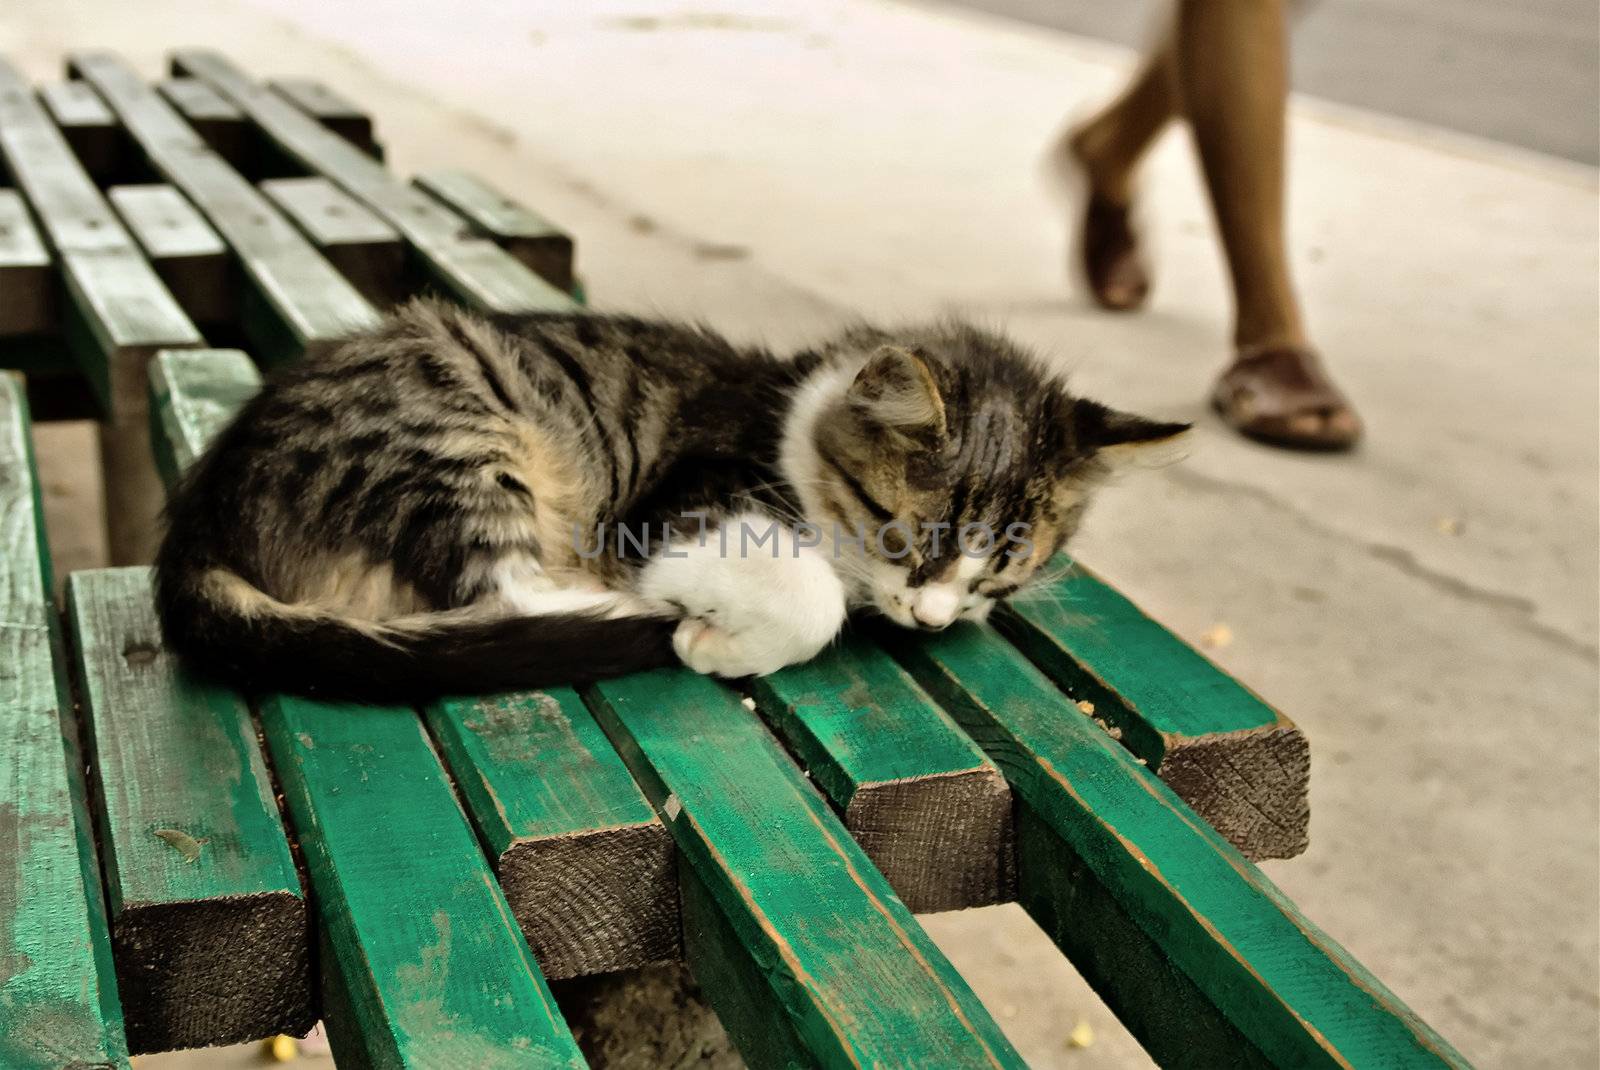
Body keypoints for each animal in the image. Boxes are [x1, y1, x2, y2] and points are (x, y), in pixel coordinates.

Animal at [156, 300, 1190, 700]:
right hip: (456, 430)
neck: (793, 419)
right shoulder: (676, 509)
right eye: (904, 540)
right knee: (503, 592)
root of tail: (199, 515)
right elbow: (811, 594)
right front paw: (720, 636)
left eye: (998, 578)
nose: (930, 619)